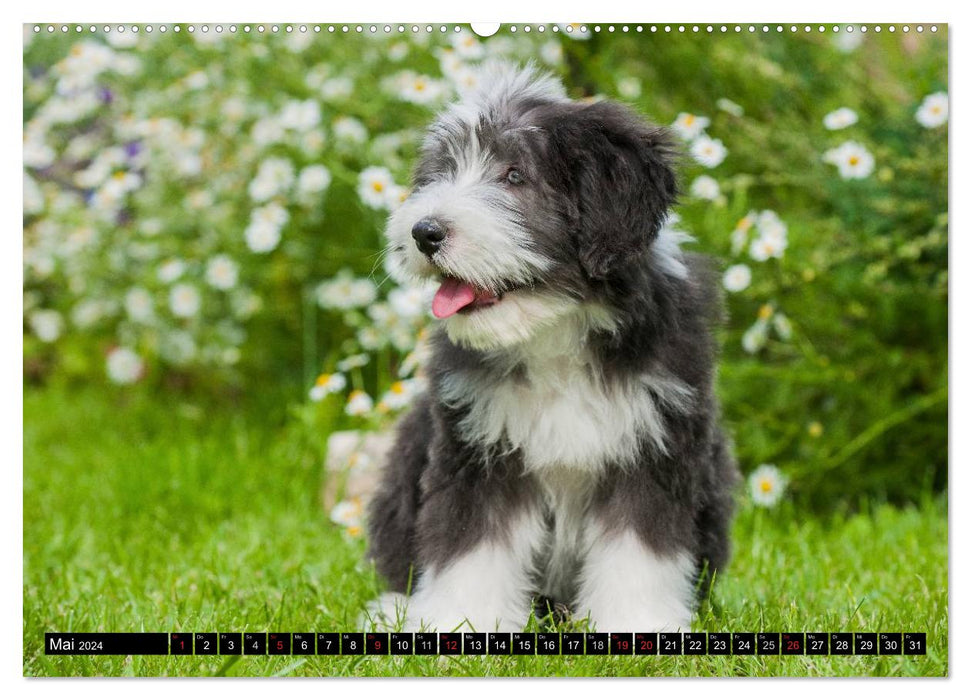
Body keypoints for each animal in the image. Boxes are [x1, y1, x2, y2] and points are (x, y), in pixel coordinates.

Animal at [364, 64, 736, 636]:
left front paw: (637, 623)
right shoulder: (477, 447)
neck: (554, 330)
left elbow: (638, 548)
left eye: (515, 175)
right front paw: (459, 622)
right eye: (441, 172)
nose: (424, 231)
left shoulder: (655, 446)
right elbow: (471, 543)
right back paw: (393, 610)